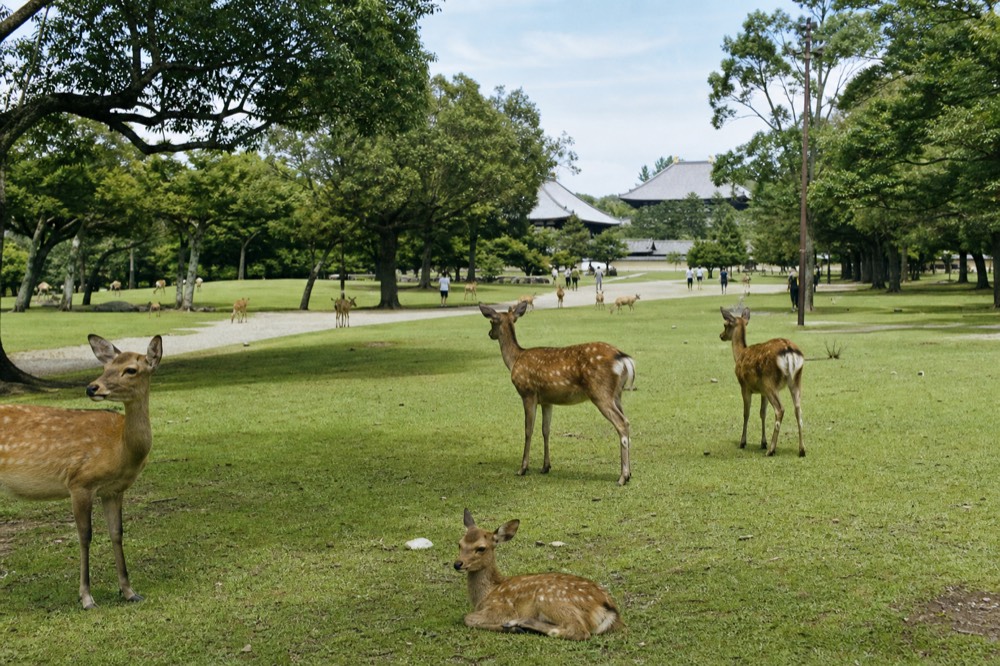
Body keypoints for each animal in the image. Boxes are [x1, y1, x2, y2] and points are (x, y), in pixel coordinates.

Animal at [0, 334, 163, 610]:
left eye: (130, 369)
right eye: (105, 367)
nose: (91, 388)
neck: (120, 449)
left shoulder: (113, 490)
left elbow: (117, 533)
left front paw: (129, 592)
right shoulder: (80, 482)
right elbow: (85, 536)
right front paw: (86, 597)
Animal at [455, 509, 624, 641]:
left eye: (481, 548)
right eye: (459, 544)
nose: (457, 564)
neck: (485, 595)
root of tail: (608, 608)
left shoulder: (501, 608)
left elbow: (467, 618)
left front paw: (509, 627)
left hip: (551, 600)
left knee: (579, 631)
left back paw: (518, 624)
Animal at [479, 301, 636, 485]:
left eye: (491, 321)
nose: (490, 334)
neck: (515, 359)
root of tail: (623, 359)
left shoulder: (528, 393)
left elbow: (528, 430)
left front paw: (522, 468)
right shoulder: (547, 400)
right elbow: (545, 430)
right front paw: (545, 467)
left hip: (600, 392)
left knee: (622, 423)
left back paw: (622, 477)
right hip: (617, 394)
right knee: (626, 421)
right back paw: (629, 473)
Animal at [719, 307, 805, 457]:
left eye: (725, 324)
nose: (721, 335)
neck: (739, 355)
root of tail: (789, 350)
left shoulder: (744, 386)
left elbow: (746, 413)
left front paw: (743, 442)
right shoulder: (762, 392)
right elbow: (762, 413)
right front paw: (763, 442)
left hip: (770, 382)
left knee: (780, 409)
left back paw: (771, 450)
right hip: (795, 380)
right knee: (798, 410)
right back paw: (801, 450)